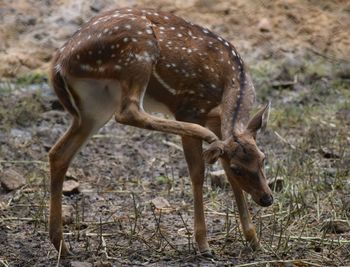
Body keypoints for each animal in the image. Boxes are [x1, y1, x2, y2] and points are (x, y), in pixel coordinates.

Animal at [48, 7, 274, 256]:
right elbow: (198, 172)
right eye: (239, 169)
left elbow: (225, 171)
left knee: (59, 153)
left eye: (263, 158)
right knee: (128, 111)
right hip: (137, 54)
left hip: (94, 107)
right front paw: (203, 244)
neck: (231, 80)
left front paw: (255, 241)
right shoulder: (191, 108)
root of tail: (58, 64)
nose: (267, 198)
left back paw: (61, 246)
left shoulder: (216, 120)